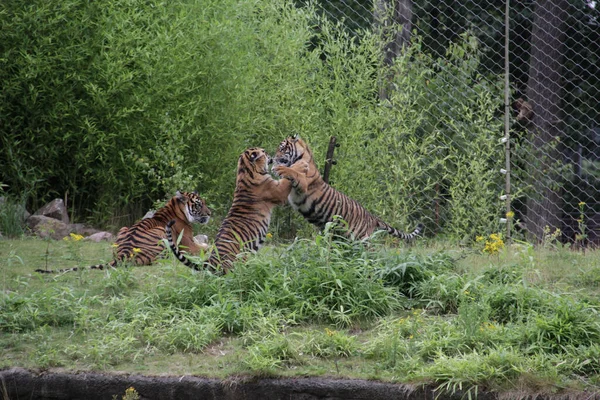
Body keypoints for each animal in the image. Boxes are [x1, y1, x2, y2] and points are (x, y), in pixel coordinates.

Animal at [35, 189, 211, 274]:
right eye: (199, 204)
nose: (210, 213)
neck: (177, 209)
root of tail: (124, 253)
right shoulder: (188, 244)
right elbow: (206, 246)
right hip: (161, 234)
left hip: (124, 228)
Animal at [165, 148, 308, 274]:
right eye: (264, 152)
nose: (271, 156)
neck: (245, 170)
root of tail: (212, 261)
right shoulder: (278, 191)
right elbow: (287, 178)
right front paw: (301, 165)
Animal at [272, 134, 422, 241]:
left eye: (282, 148)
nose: (273, 158)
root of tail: (372, 217)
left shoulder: (303, 184)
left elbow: (293, 171)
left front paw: (279, 168)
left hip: (361, 240)